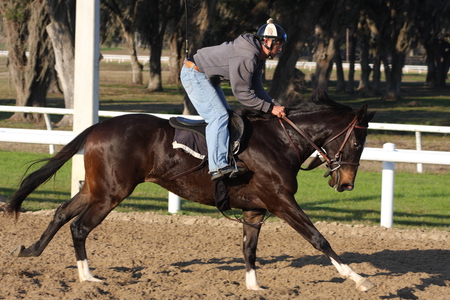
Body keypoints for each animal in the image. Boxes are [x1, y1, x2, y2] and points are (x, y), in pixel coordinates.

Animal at [5, 92, 374, 292]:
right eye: (358, 141)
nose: (346, 183)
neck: (279, 141)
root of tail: (99, 125)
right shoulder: (281, 202)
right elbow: (318, 238)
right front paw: (358, 278)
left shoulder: (255, 208)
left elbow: (249, 249)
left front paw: (254, 286)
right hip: (112, 192)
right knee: (79, 226)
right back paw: (88, 277)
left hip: (98, 188)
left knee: (61, 213)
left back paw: (32, 250)